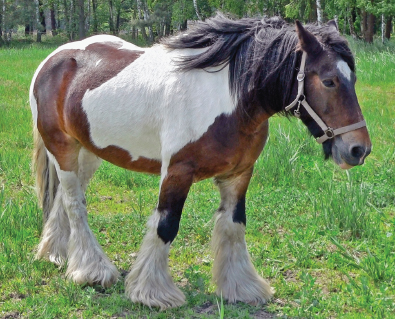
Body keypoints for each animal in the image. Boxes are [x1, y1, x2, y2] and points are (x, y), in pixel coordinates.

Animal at [30, 14, 372, 310]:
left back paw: (56, 254)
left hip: (87, 152)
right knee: (75, 204)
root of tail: (53, 60)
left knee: (63, 199)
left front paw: (242, 287)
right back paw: (92, 271)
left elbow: (234, 225)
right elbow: (166, 226)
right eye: (328, 81)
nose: (359, 149)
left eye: (353, 78)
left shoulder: (239, 174)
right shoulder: (177, 172)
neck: (229, 101)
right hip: (63, 149)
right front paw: (151, 292)